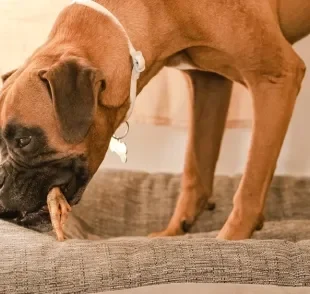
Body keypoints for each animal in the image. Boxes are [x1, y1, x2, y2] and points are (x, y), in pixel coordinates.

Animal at [0, 0, 310, 239]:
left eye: (24, 140)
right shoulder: (209, 84)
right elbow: (195, 169)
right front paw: (174, 232)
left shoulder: (276, 78)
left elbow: (250, 185)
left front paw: (230, 239)